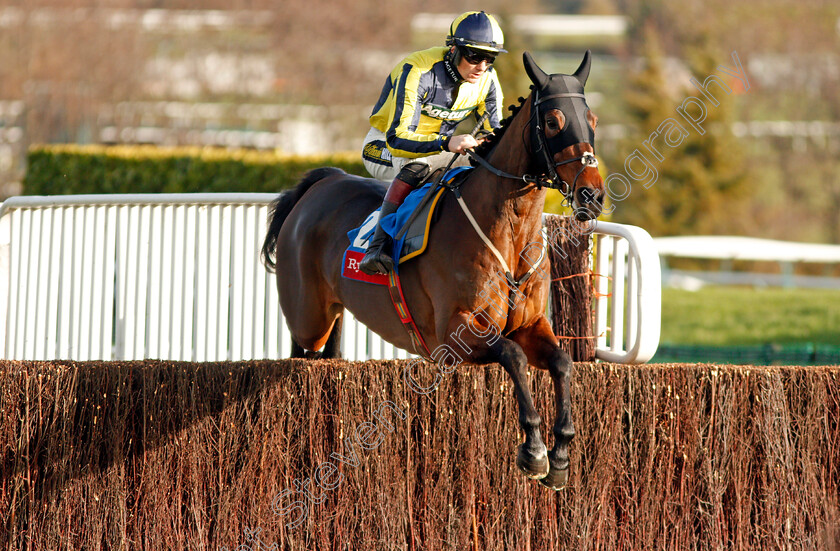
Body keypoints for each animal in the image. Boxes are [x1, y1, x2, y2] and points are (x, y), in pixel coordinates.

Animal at [262, 51, 604, 490]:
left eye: (592, 119)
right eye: (553, 122)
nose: (591, 195)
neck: (508, 233)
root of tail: (323, 182)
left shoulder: (530, 324)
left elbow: (562, 362)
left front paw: (560, 453)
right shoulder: (455, 335)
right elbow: (513, 356)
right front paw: (533, 450)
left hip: (333, 311)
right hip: (308, 317)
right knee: (300, 350)